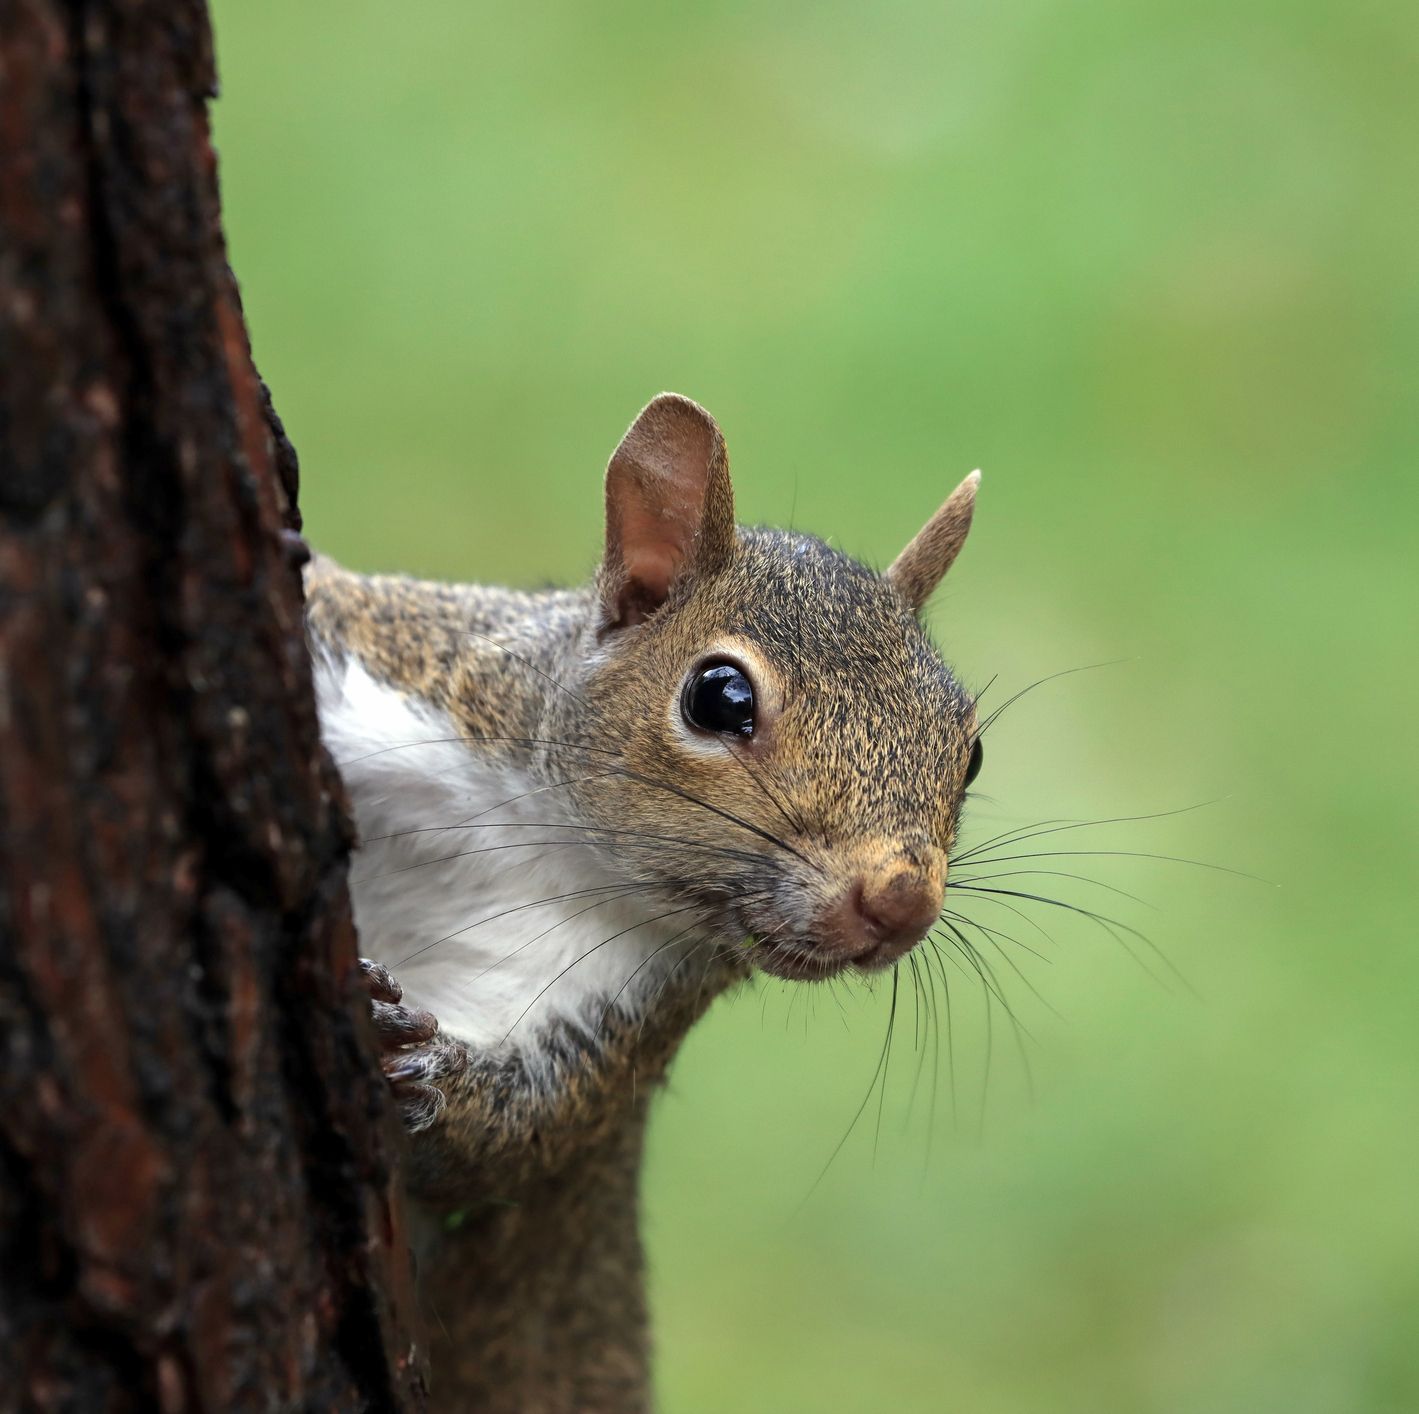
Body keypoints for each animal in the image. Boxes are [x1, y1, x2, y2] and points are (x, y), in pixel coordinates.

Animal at [303, 394, 981, 1414]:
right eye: (718, 695)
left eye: (968, 749)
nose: (901, 902)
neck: (551, 842)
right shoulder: (411, 667)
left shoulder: (629, 1010)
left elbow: (506, 1141)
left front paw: (416, 1060)